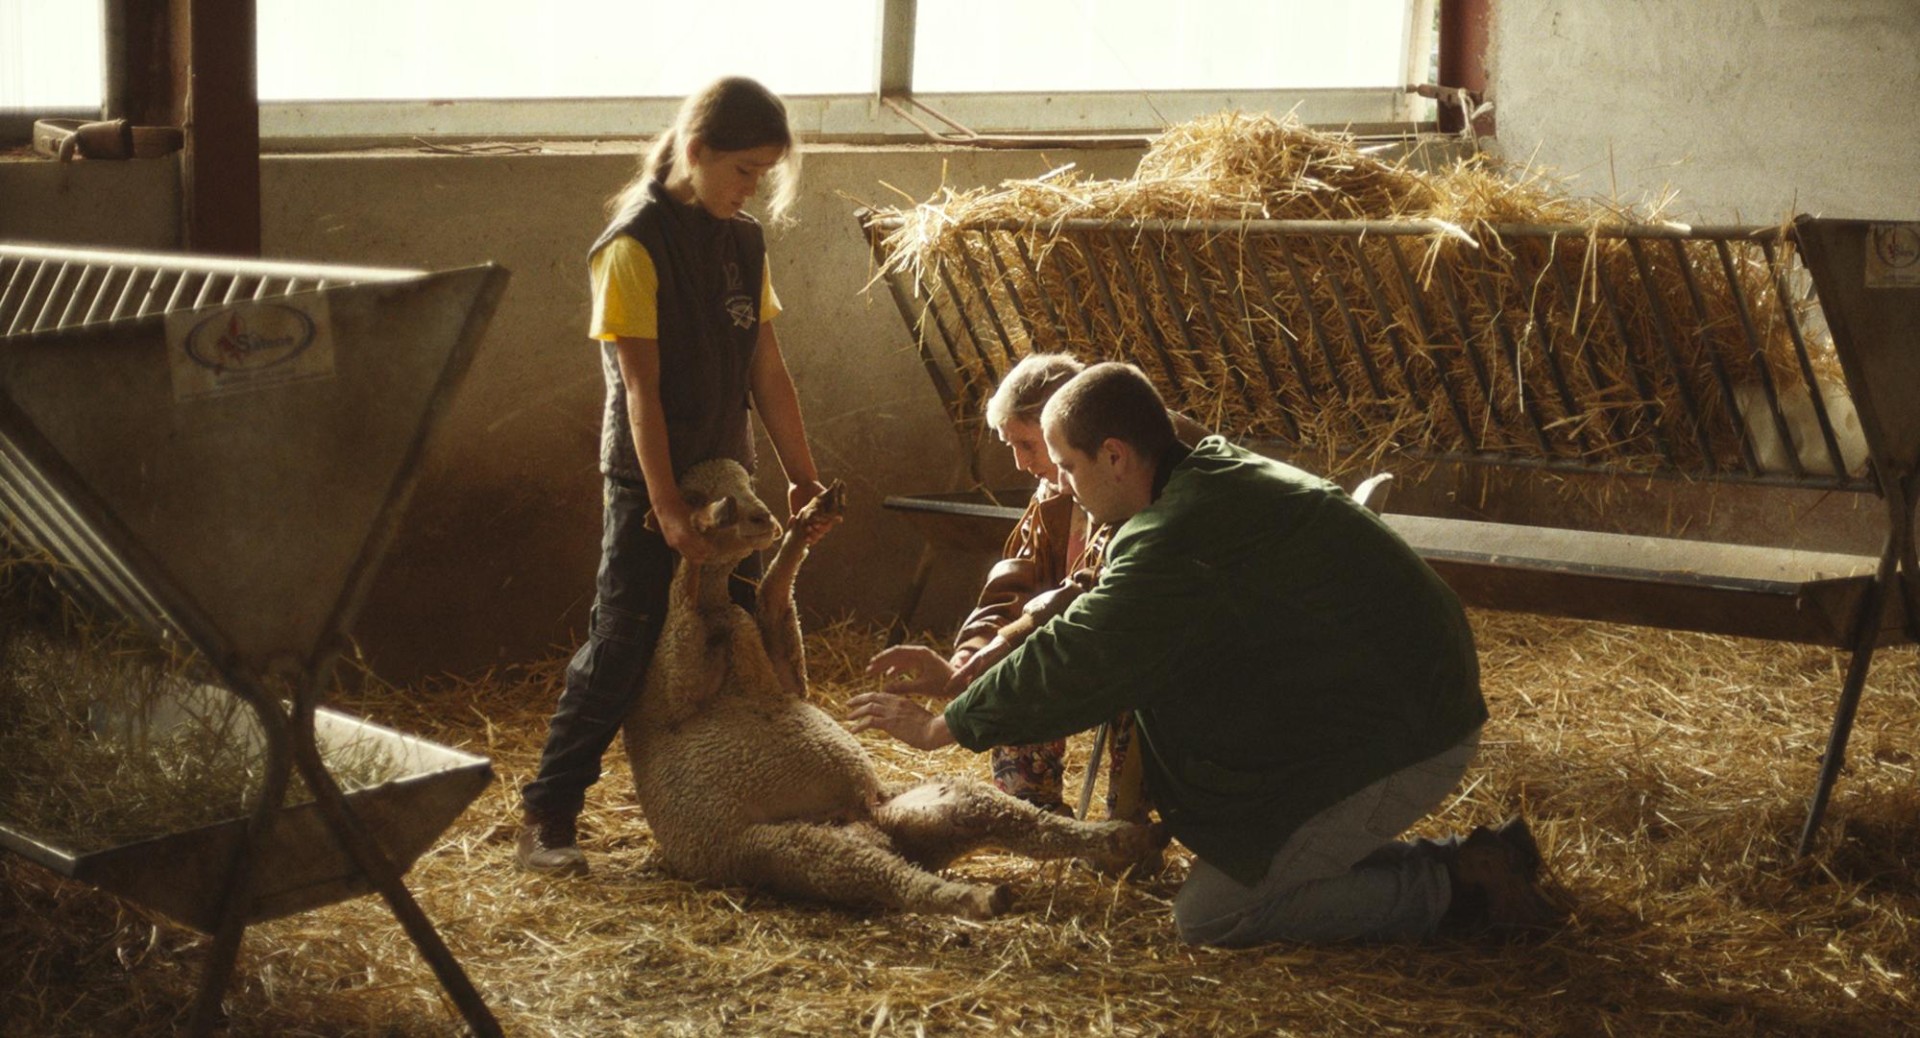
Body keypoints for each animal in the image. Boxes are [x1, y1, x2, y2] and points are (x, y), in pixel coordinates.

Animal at [625, 456, 1152, 917]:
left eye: (748, 481)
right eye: (695, 494)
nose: (760, 516)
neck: (721, 623)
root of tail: (871, 829)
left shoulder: (784, 673)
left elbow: (775, 593)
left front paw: (810, 517)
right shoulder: (675, 684)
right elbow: (696, 593)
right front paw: (710, 527)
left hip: (938, 805)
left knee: (1024, 827)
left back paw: (1117, 838)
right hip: (793, 851)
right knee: (896, 882)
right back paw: (980, 898)